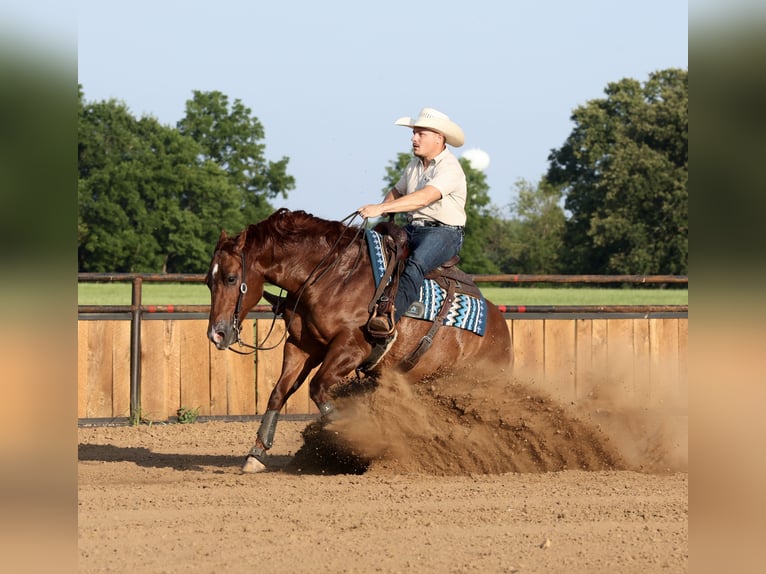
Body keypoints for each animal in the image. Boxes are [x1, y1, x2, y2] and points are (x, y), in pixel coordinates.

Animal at [205, 208, 511, 473]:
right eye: (209, 281)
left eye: (231, 278)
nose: (216, 333)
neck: (331, 276)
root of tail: (500, 329)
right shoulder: (302, 346)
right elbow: (279, 392)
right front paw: (257, 453)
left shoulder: (351, 348)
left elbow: (318, 388)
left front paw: (351, 438)